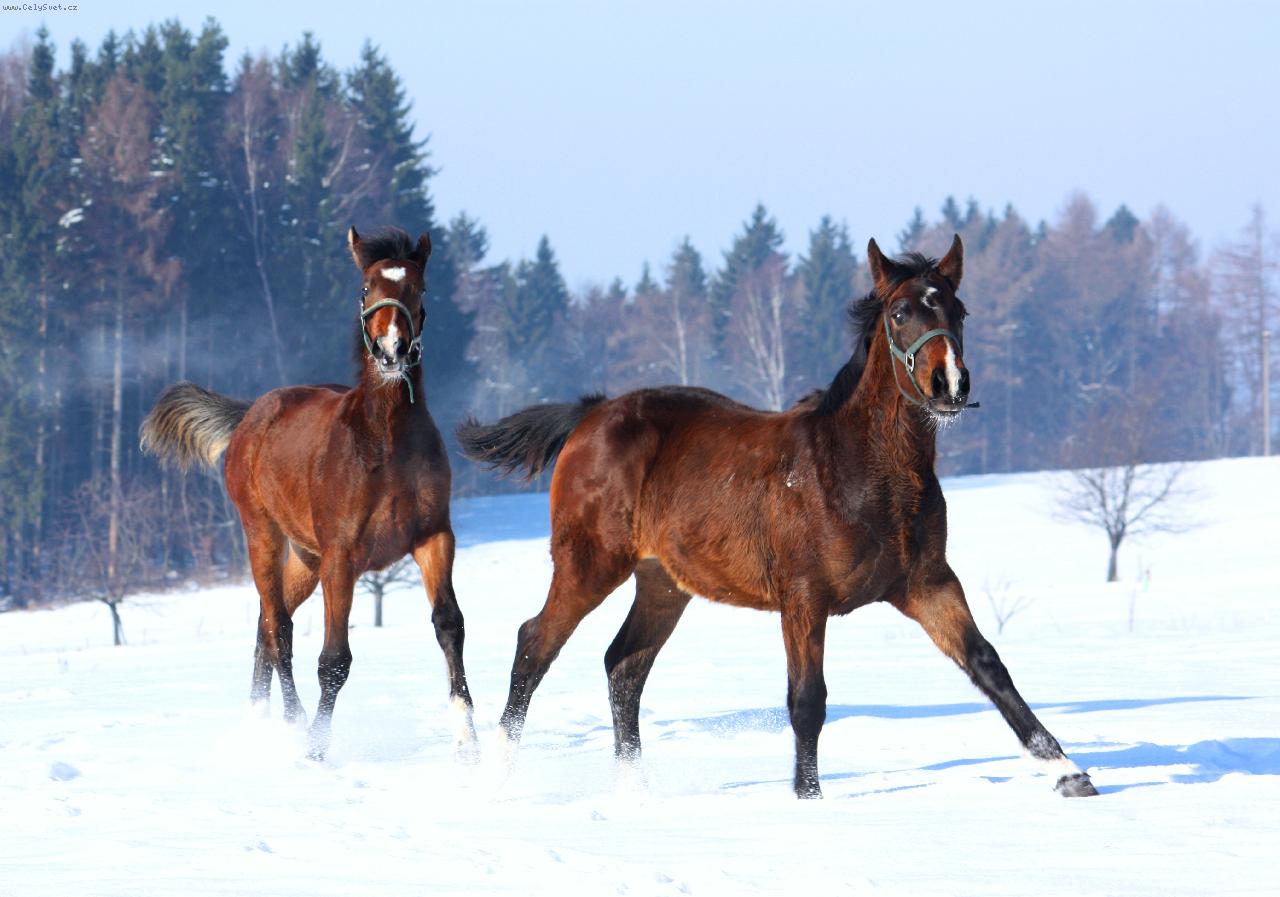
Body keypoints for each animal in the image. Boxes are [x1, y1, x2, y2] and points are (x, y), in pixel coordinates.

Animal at [141, 226, 477, 761]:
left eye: (420, 289)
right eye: (365, 287)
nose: (392, 350)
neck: (385, 442)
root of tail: (251, 415)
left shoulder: (432, 538)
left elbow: (449, 624)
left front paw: (470, 743)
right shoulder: (343, 555)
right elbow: (334, 658)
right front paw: (316, 750)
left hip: (305, 557)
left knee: (266, 623)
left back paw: (259, 723)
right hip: (263, 535)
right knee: (279, 628)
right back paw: (292, 722)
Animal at [458, 235, 1097, 798]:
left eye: (958, 310)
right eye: (899, 313)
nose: (949, 385)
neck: (862, 473)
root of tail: (590, 416)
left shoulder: (928, 584)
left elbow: (989, 665)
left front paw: (1069, 773)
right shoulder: (803, 597)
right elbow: (807, 699)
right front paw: (807, 800)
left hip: (663, 583)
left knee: (624, 665)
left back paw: (633, 793)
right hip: (589, 564)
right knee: (535, 645)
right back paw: (495, 781)